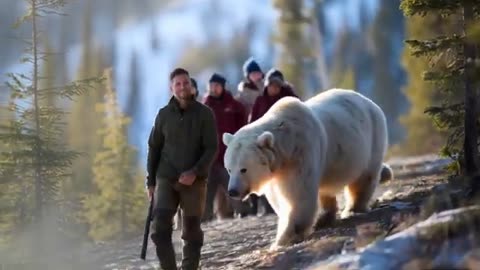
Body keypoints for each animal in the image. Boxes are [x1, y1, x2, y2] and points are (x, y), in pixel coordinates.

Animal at [223, 88, 392, 249]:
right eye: (229, 169)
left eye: (243, 169)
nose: (232, 191)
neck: (288, 143)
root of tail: (370, 102)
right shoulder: (277, 172)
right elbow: (280, 199)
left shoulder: (301, 155)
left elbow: (298, 195)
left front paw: (284, 238)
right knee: (326, 190)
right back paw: (324, 218)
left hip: (371, 139)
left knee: (364, 178)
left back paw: (352, 209)